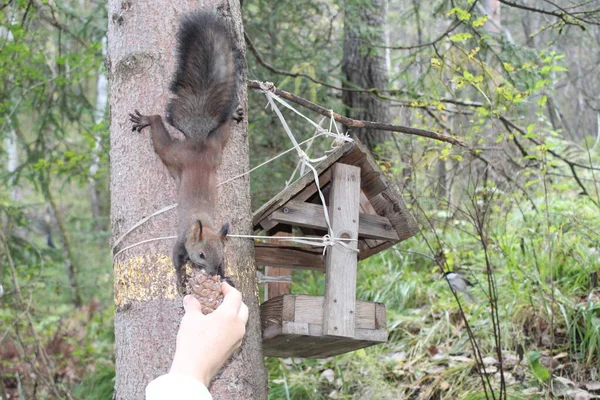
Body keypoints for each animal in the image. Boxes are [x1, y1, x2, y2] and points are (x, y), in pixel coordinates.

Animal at [129, 10, 241, 290]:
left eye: (221, 256)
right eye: (200, 254)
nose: (212, 272)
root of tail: (197, 143)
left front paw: (226, 277)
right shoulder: (180, 242)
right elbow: (176, 261)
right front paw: (181, 281)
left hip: (216, 146)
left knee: (223, 126)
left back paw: (233, 114)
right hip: (173, 153)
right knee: (159, 125)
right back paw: (147, 119)